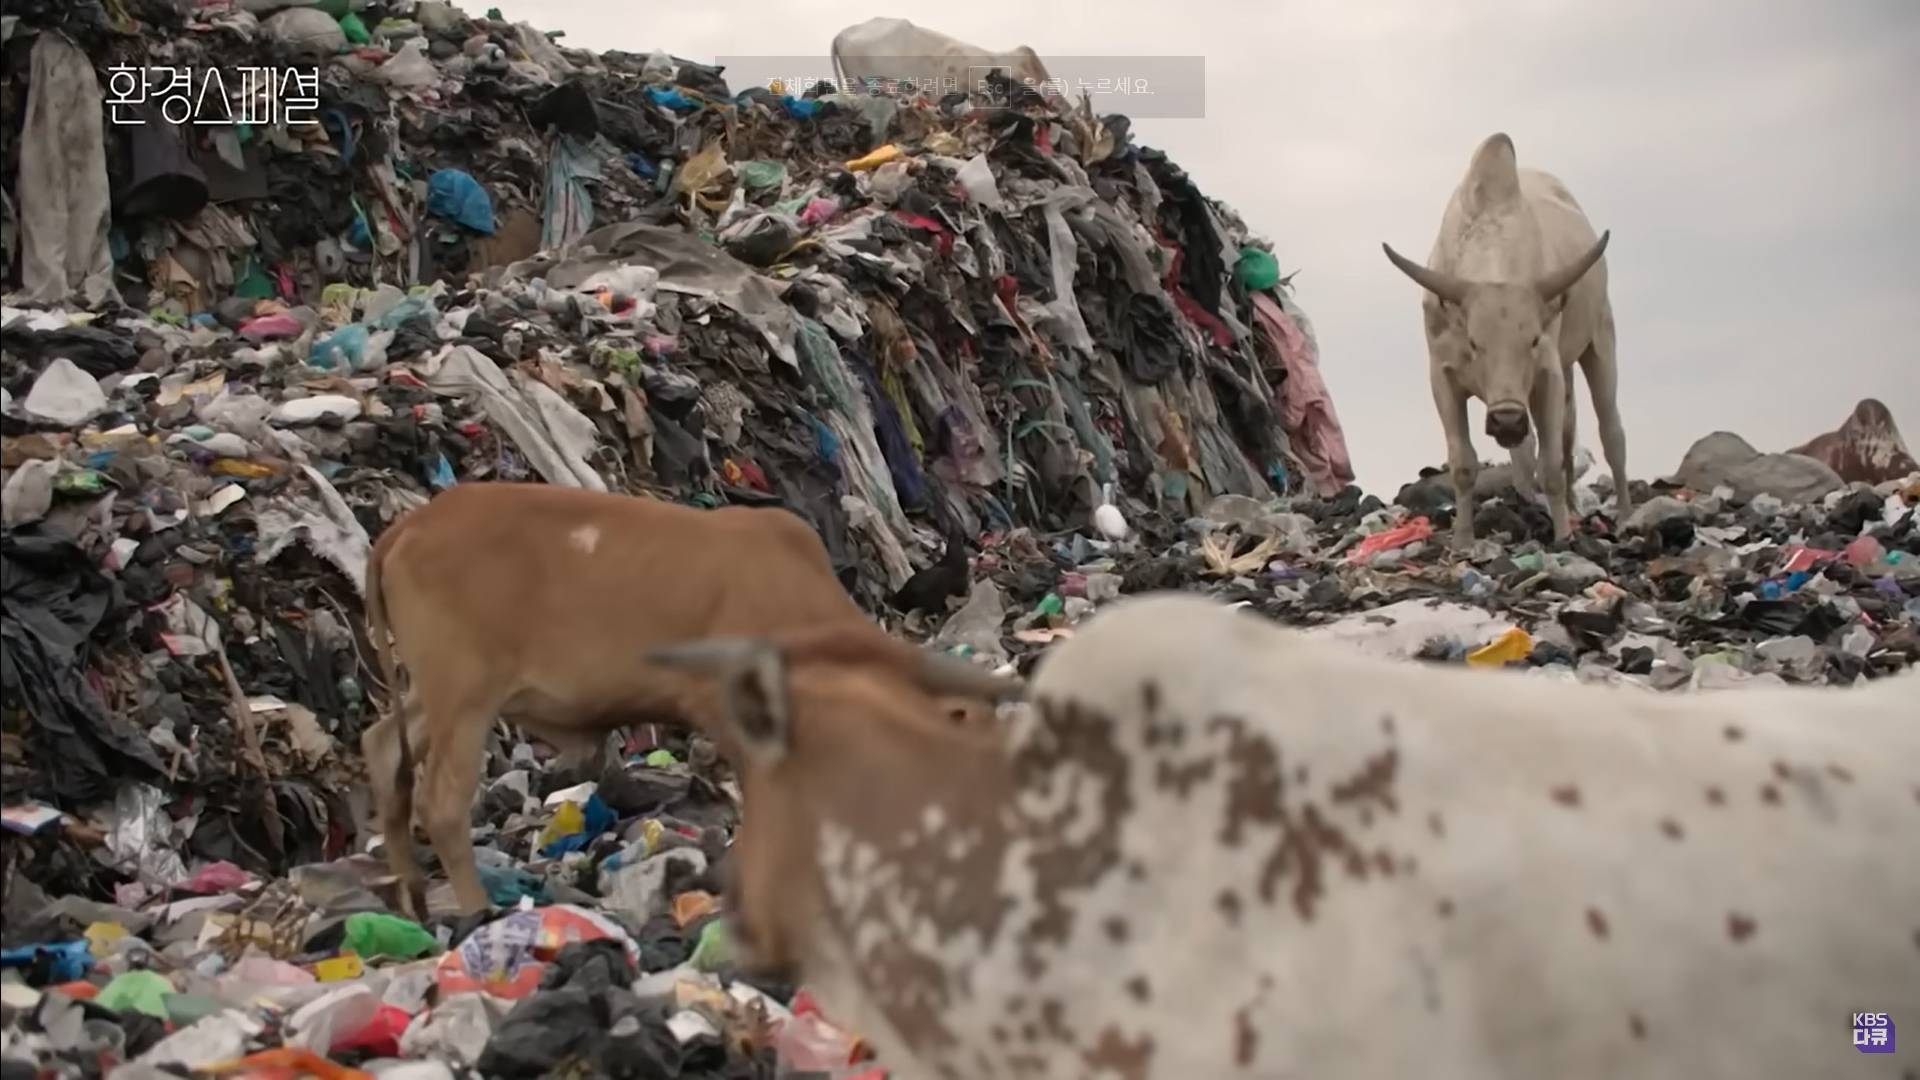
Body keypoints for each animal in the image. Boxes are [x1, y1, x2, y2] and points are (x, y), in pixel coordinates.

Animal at [362, 484, 1021, 910]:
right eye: (963, 723)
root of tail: (407, 527)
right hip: (464, 694)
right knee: (441, 803)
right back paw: (475, 911)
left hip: (431, 695)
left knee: (383, 749)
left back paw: (411, 899)